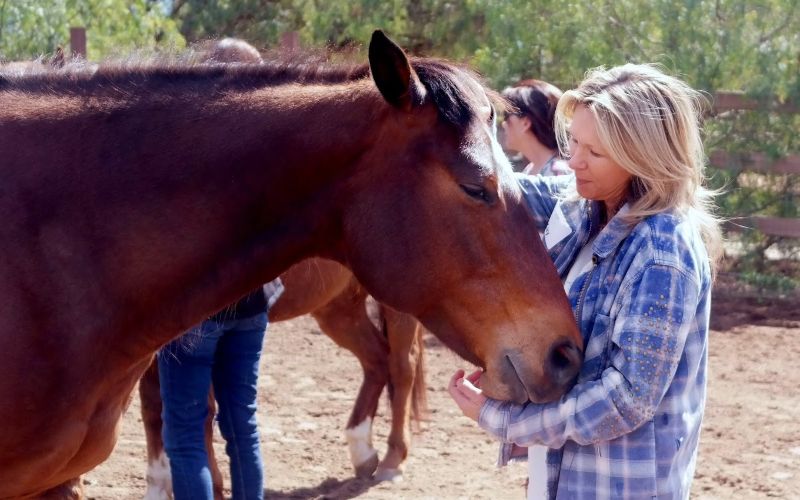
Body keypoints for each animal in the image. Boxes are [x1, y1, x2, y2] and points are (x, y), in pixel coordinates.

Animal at [139, 258, 424, 496]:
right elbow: (152, 410)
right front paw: (158, 489)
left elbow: (200, 414)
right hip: (336, 306)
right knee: (377, 360)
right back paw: (362, 451)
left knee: (402, 367)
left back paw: (393, 461)